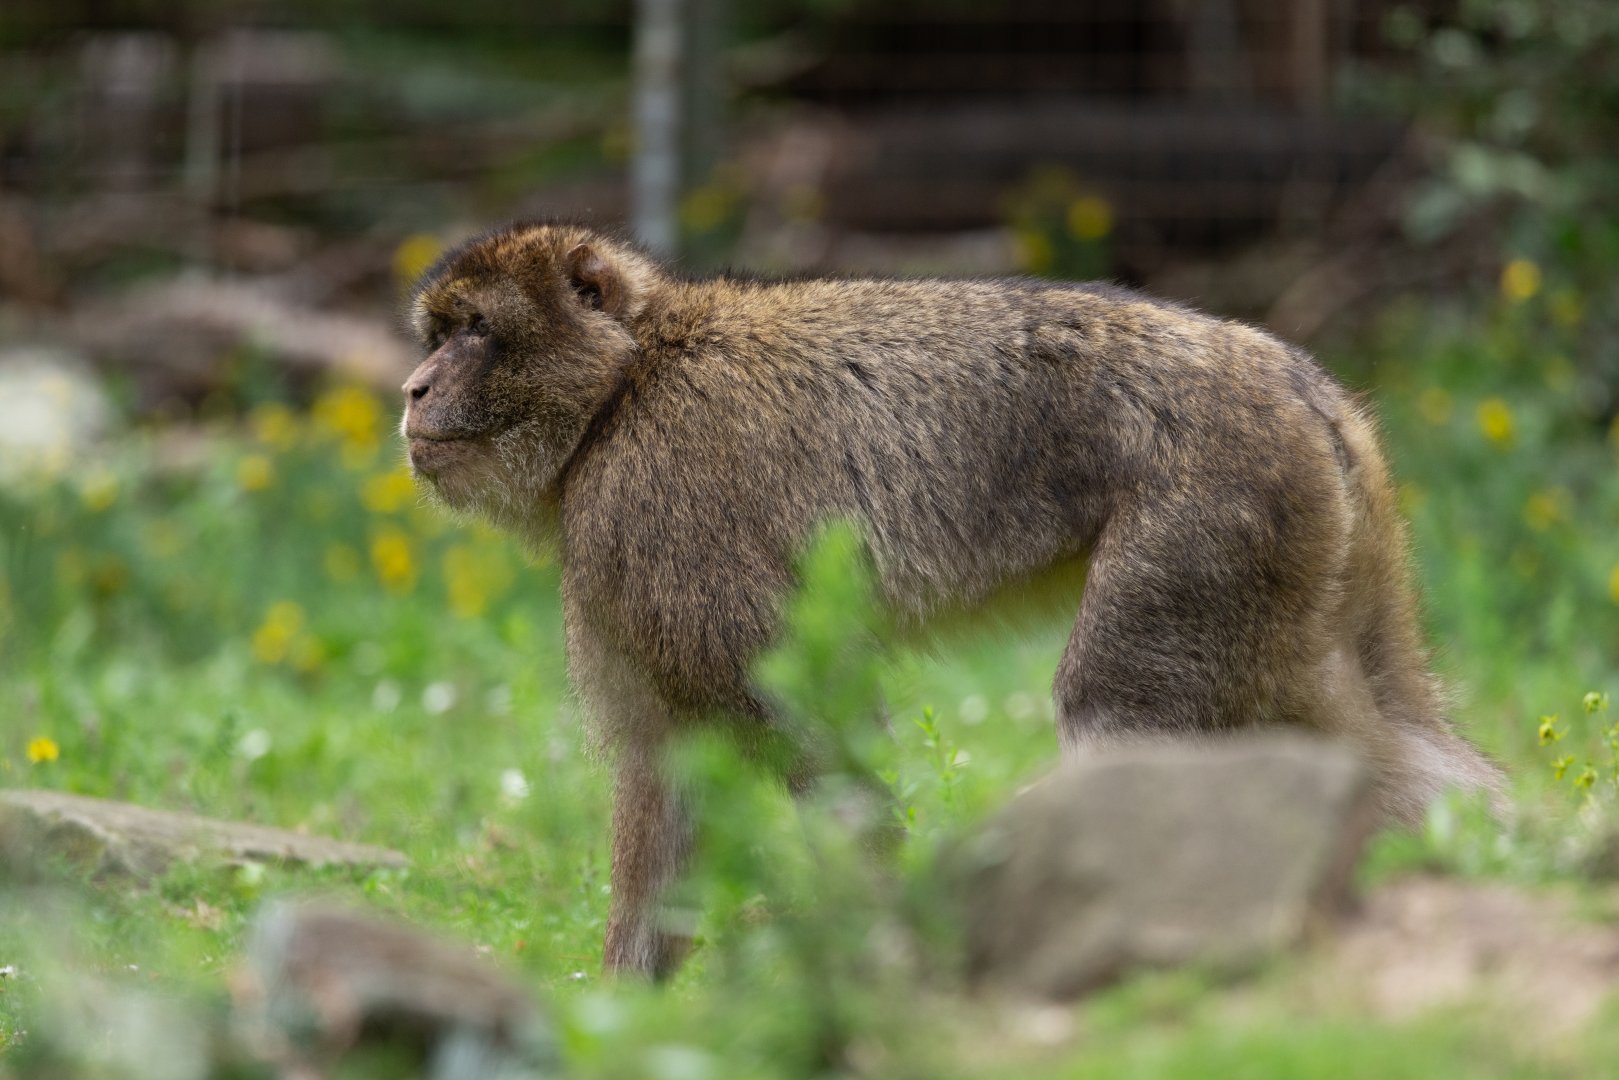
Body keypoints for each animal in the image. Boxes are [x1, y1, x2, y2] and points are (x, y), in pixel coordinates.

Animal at [400, 220, 1505, 979]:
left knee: (1117, 716)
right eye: (436, 333)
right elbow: (668, 763)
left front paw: (880, 953)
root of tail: (1306, 388)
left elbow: (809, 730)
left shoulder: (657, 511)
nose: (411, 388)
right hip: (1306, 543)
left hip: (1209, 515)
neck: (622, 390)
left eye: (474, 333)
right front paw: (626, 1008)